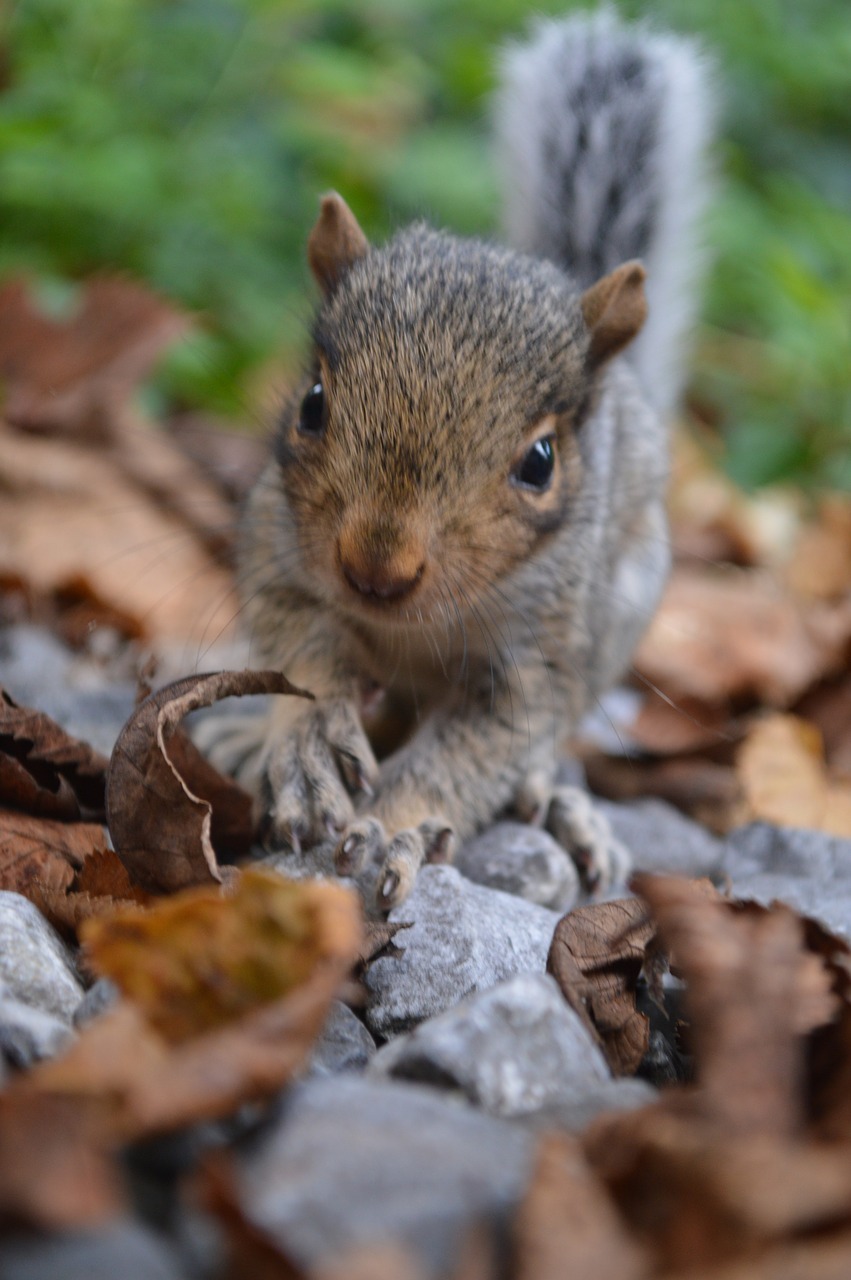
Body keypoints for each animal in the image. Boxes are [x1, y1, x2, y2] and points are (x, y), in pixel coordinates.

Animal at [204, 10, 711, 911]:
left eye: (540, 461)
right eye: (312, 403)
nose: (375, 570)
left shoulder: (537, 662)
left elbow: (473, 753)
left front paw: (393, 825)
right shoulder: (275, 546)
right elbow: (301, 646)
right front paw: (306, 739)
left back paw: (555, 803)